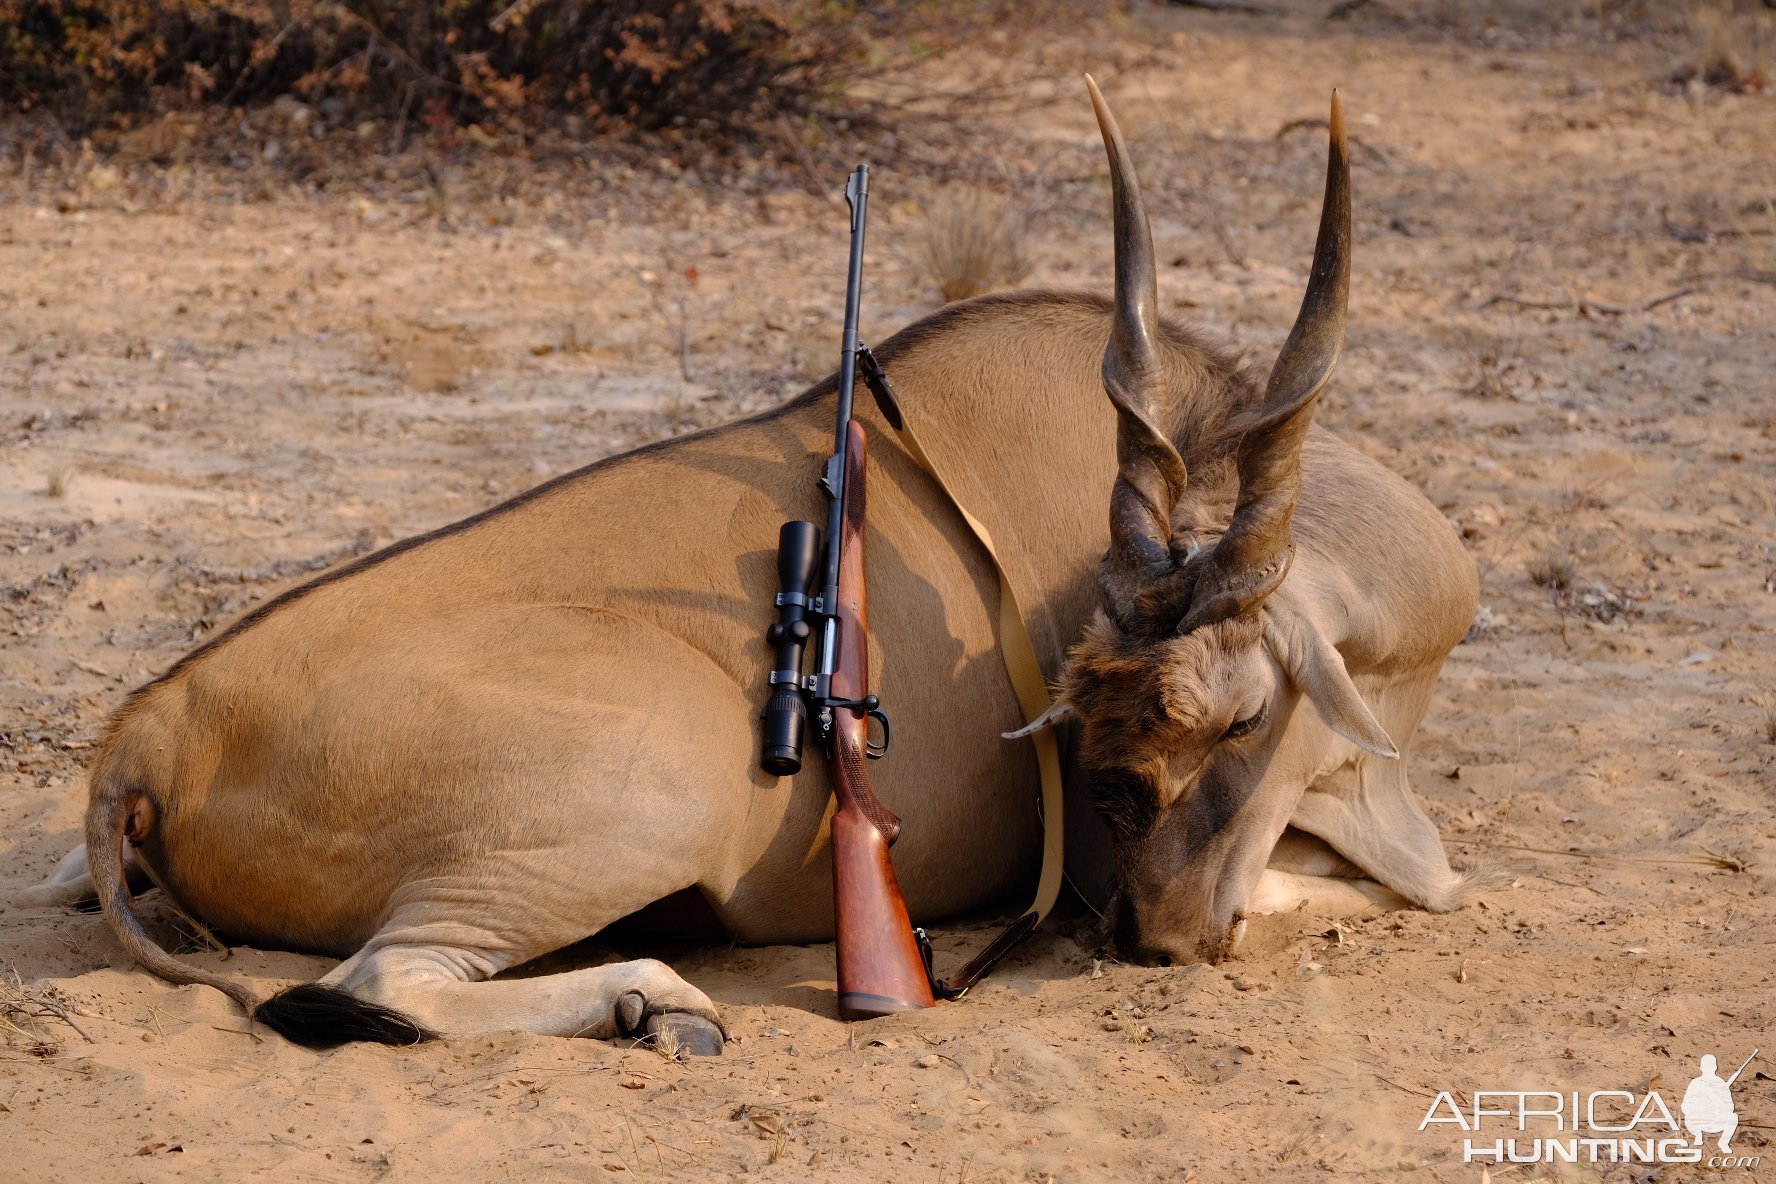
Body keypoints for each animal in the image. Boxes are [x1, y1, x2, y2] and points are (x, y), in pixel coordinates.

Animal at [10, 85, 1484, 1057]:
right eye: (1115, 729)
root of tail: (150, 726)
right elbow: (1369, 884)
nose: (1155, 934)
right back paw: (651, 999)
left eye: (1237, 718)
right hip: (639, 796)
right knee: (392, 981)